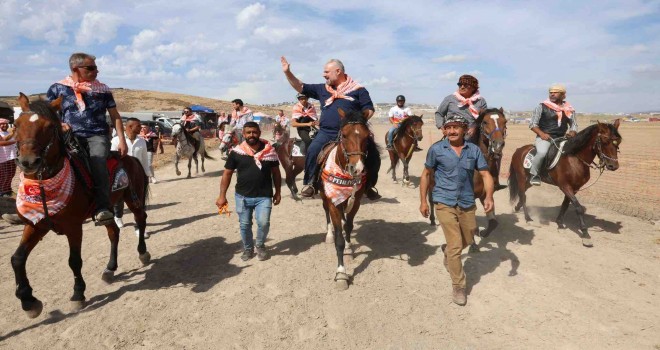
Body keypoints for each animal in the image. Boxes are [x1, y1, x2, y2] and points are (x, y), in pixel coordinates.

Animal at [10, 93, 151, 318]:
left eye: (49, 126)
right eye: (15, 125)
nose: (28, 162)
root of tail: (130, 157)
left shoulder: (73, 227)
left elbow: (74, 260)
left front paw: (78, 294)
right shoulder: (35, 225)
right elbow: (17, 258)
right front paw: (28, 301)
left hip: (133, 198)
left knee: (141, 219)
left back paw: (143, 253)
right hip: (108, 208)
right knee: (114, 232)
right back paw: (110, 268)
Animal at [316, 108, 368, 292]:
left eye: (367, 136)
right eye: (344, 135)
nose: (357, 168)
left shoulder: (356, 202)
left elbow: (349, 226)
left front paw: (349, 247)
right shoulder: (333, 203)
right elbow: (339, 239)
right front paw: (341, 274)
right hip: (324, 197)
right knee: (326, 214)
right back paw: (328, 235)